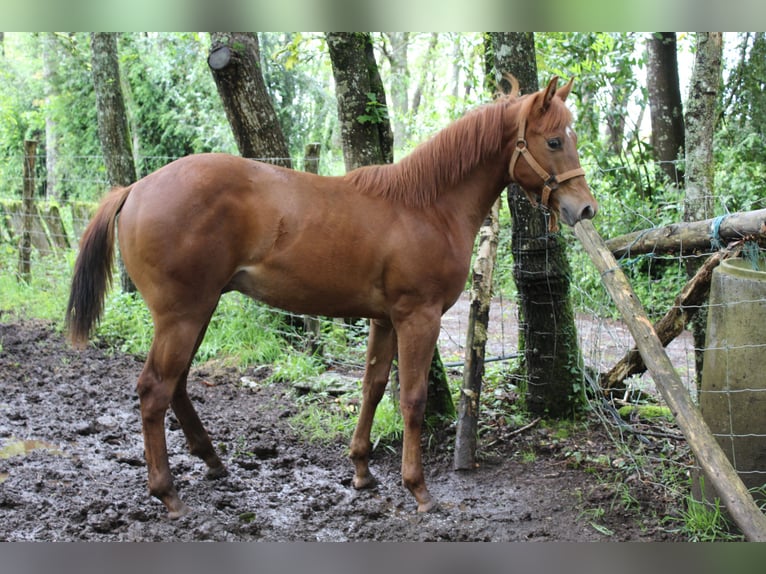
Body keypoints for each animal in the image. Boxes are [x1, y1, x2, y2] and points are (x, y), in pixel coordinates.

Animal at [66, 74, 600, 520]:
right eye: (554, 140)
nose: (585, 208)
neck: (425, 206)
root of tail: (136, 188)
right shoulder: (418, 318)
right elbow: (412, 398)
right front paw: (418, 488)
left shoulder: (384, 319)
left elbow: (373, 388)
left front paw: (362, 471)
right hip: (183, 314)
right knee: (154, 389)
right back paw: (168, 493)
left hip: (197, 311)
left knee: (174, 385)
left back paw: (212, 460)